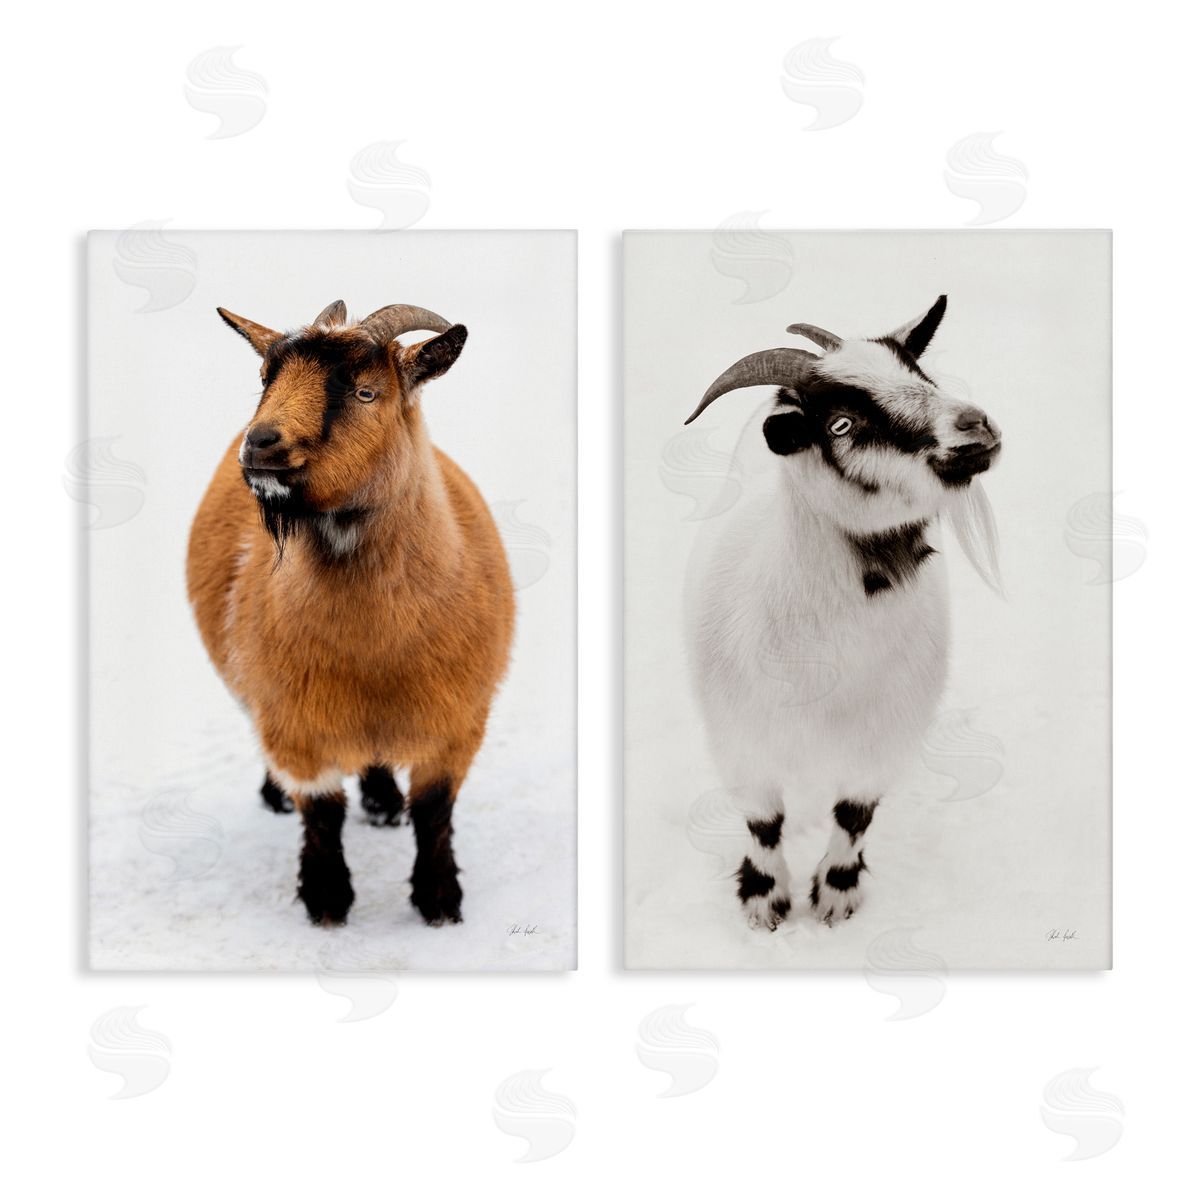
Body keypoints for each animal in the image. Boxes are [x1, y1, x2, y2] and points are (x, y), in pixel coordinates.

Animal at [187, 298, 514, 927]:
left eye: (366, 392)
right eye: (265, 378)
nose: (260, 444)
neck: (374, 651)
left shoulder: (458, 721)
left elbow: (434, 812)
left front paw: (440, 903)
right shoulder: (294, 722)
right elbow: (322, 813)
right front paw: (327, 900)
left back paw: (384, 801)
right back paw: (279, 797)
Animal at [683, 296, 1001, 929]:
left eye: (921, 376)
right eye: (842, 424)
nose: (974, 425)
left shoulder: (884, 739)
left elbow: (854, 817)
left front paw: (835, 896)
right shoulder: (739, 740)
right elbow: (763, 823)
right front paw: (765, 902)